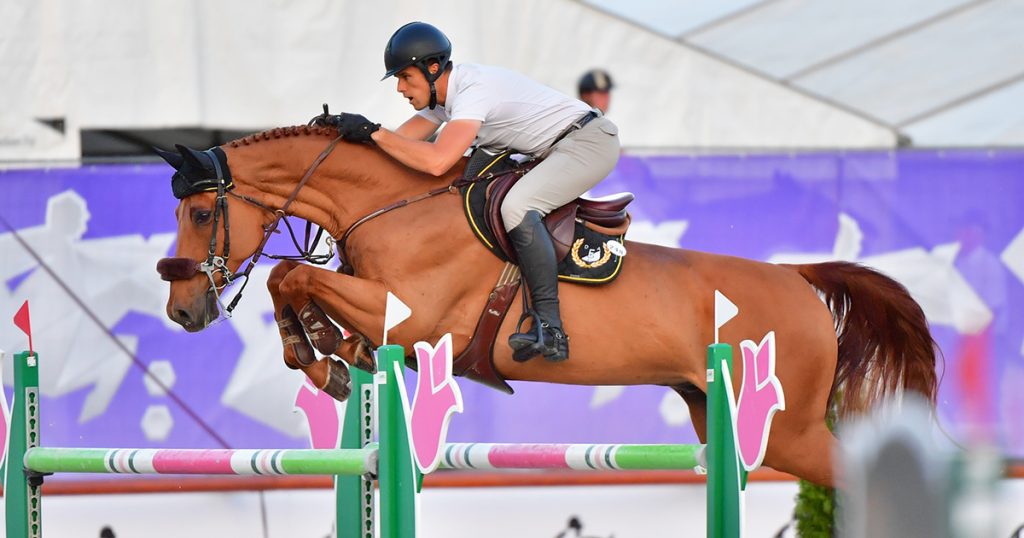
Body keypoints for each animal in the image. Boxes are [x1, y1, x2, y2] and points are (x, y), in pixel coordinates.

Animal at [157, 126, 937, 485]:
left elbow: (291, 274)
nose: (184, 312)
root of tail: (798, 279)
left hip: (790, 431)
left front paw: (321, 356)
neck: (393, 204)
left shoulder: (413, 315)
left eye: (201, 213)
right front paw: (331, 356)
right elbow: (297, 283)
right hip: (720, 414)